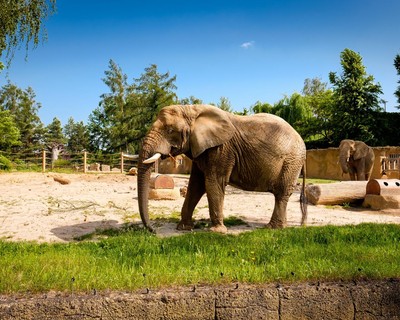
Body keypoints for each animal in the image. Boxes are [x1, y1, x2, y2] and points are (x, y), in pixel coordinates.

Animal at [139, 105, 308, 232]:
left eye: (170, 130)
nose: (153, 230)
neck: (193, 110)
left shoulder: (221, 149)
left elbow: (213, 182)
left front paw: (216, 231)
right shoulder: (201, 148)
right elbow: (196, 185)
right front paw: (183, 228)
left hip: (291, 161)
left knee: (282, 193)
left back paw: (272, 228)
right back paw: (280, 227)